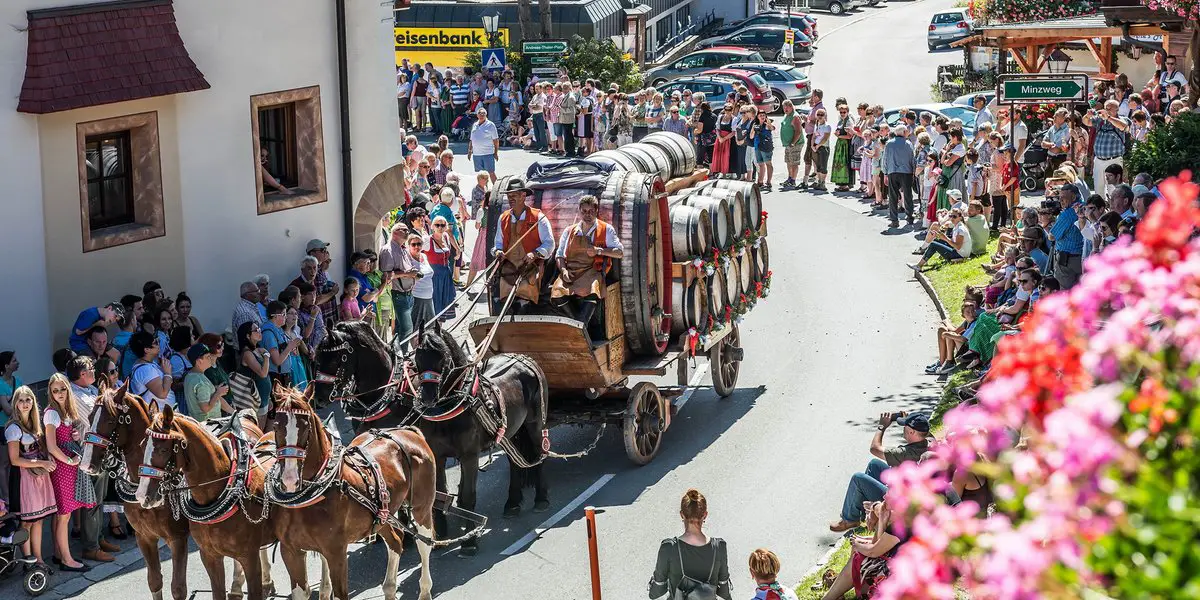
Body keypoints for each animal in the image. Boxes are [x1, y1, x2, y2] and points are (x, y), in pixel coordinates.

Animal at [81, 384, 273, 600]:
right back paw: (237, 586)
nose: (87, 463)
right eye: (90, 417)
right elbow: (154, 580)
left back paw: (263, 581)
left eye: (110, 420)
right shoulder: (143, 536)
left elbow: (178, 588)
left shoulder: (177, 537)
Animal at [137, 405, 304, 600]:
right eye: (142, 446)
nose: (142, 495)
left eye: (162, 450)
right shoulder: (209, 556)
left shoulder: (249, 557)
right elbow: (217, 592)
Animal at [270, 386, 439, 600]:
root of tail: (409, 431)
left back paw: (425, 590)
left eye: (306, 426)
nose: (289, 479)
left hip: (421, 507)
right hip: (383, 514)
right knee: (396, 539)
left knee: (424, 544)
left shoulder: (336, 553)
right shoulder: (291, 551)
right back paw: (390, 587)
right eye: (276, 426)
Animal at [312, 321, 549, 554]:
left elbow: (466, 496)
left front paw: (467, 541)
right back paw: (512, 503)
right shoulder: (433, 453)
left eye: (336, 358)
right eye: (317, 358)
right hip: (512, 432)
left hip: (535, 425)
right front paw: (437, 534)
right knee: (515, 462)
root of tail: (521, 358)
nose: (319, 398)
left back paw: (541, 499)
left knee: (540, 455)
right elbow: (437, 492)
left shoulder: (468, 456)